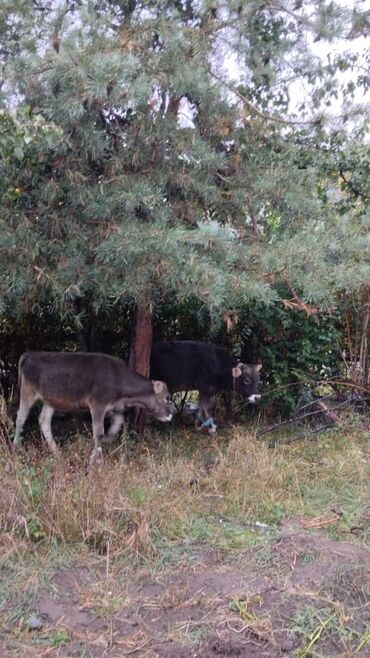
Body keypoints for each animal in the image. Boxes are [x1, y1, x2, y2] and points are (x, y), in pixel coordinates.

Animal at [14, 348, 173, 462]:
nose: (171, 414)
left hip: (51, 399)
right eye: (167, 398)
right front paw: (95, 460)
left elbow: (116, 427)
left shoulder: (115, 407)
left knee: (44, 420)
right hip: (27, 391)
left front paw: (106, 441)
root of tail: (30, 354)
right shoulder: (97, 405)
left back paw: (57, 453)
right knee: (20, 417)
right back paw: (16, 447)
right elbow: (98, 432)